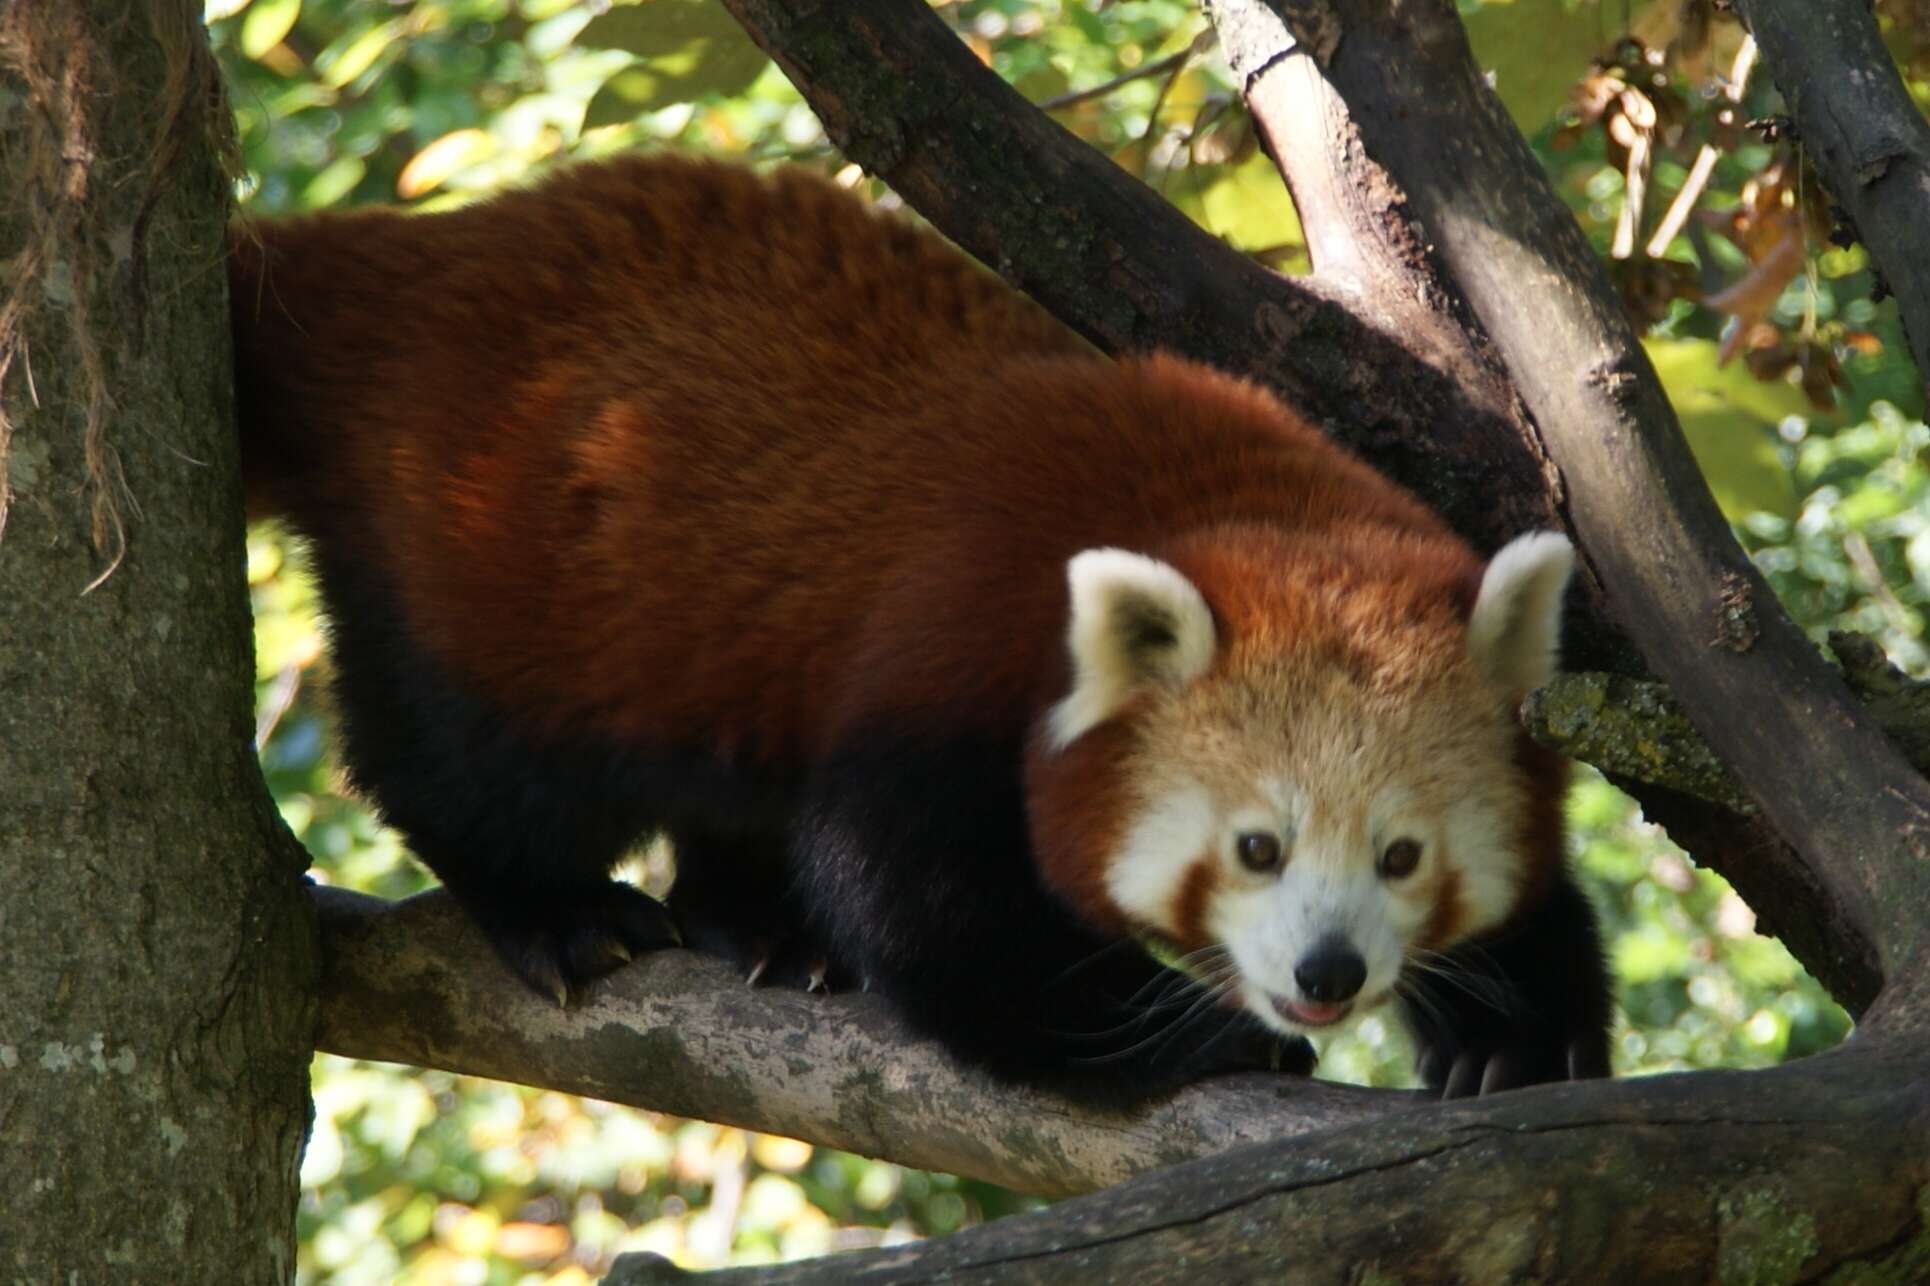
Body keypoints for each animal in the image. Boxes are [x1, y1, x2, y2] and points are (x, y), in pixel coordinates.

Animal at [229, 155, 1613, 1104]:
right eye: (1255, 848)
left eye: (1402, 855)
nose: (1327, 973)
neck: (1216, 499)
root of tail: (427, 256)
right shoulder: (946, 662)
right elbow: (928, 916)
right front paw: (1195, 1032)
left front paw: (1511, 1025)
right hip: (494, 562)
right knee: (468, 763)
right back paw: (562, 908)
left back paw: (760, 924)